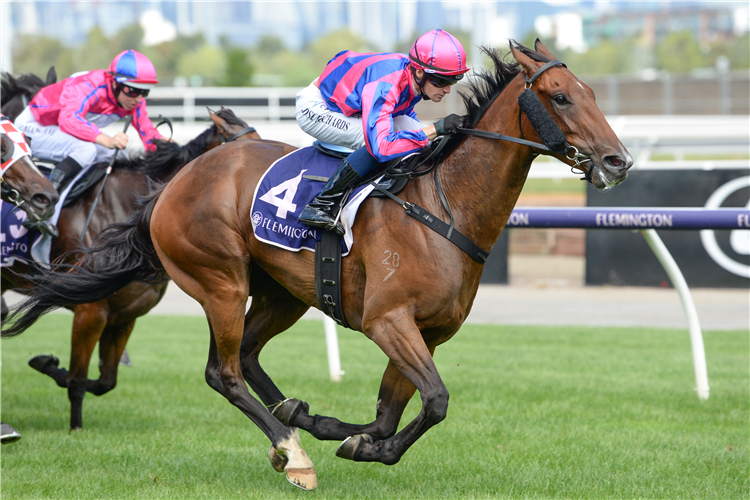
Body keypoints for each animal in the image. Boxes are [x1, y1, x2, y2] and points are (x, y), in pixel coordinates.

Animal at [4, 108, 260, 430]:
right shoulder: (91, 311)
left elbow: (105, 380)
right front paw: (75, 428)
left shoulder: (125, 315)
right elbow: (77, 380)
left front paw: (47, 363)